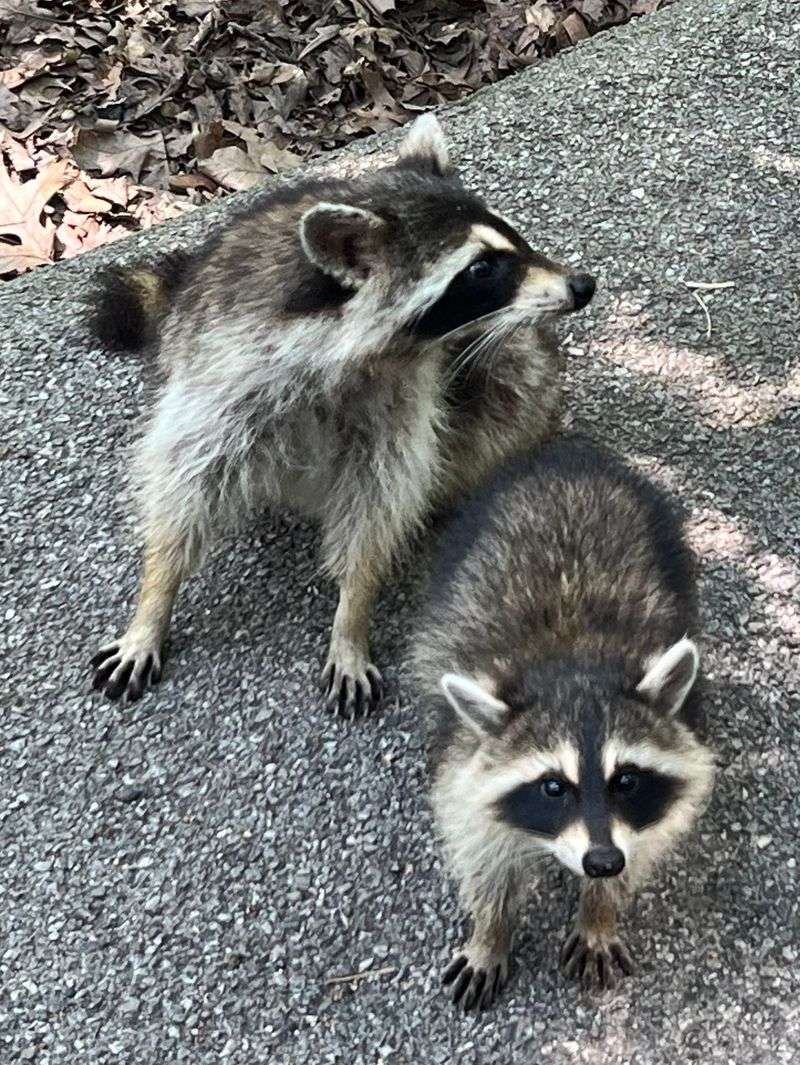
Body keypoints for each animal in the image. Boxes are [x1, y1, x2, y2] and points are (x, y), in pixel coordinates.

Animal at [89, 115, 596, 716]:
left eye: (512, 239)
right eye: (482, 269)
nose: (582, 285)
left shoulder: (403, 399)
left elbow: (377, 506)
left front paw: (353, 615)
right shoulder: (222, 371)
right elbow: (186, 487)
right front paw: (155, 598)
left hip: (507, 366)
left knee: (510, 394)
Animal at [414, 438, 715, 1009]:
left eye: (627, 780)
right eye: (553, 786)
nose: (602, 862)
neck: (573, 664)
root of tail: (567, 453)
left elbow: (645, 841)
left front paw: (599, 908)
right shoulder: (464, 758)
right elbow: (479, 842)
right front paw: (490, 930)